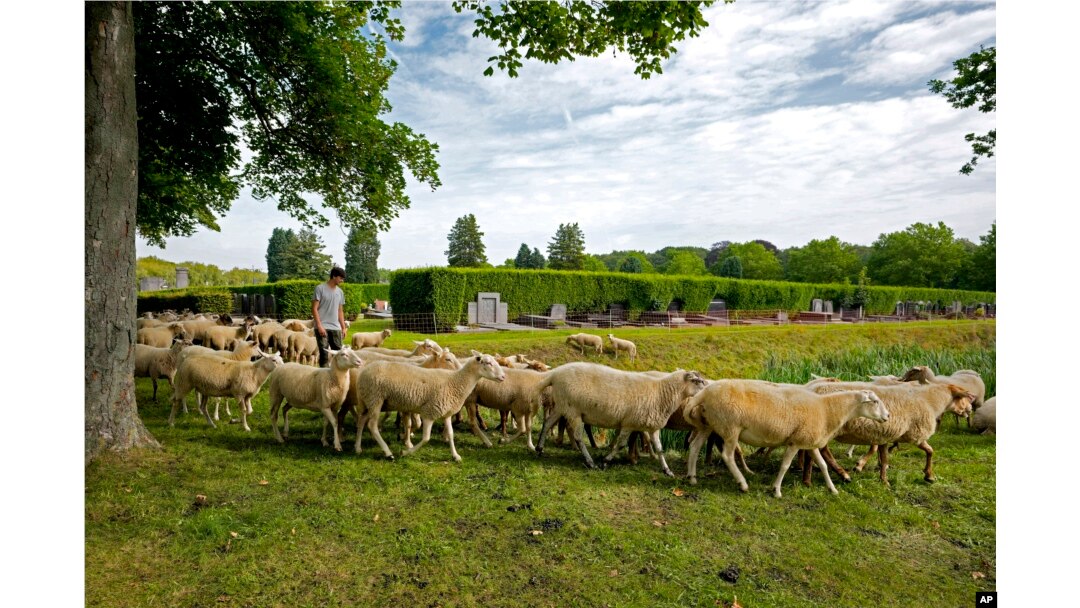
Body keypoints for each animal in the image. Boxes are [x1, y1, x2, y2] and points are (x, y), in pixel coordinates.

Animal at [354, 352, 505, 462]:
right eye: (489, 363)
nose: (503, 377)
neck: (456, 382)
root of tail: (364, 371)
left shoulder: (446, 413)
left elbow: (451, 434)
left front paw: (455, 456)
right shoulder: (430, 413)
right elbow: (426, 438)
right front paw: (405, 452)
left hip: (368, 400)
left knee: (361, 421)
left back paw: (357, 448)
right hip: (375, 399)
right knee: (372, 426)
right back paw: (388, 453)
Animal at [531, 360, 708, 475]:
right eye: (697, 381)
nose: (709, 389)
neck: (661, 393)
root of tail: (555, 373)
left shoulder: (653, 427)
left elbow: (659, 449)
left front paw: (667, 470)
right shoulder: (629, 423)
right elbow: (621, 444)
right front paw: (606, 461)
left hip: (562, 405)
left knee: (547, 423)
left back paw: (539, 448)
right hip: (573, 410)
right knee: (578, 437)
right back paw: (590, 462)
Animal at [678, 380, 889, 498]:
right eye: (875, 401)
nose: (887, 416)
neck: (828, 410)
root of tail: (703, 394)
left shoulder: (809, 441)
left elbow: (823, 465)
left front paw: (833, 489)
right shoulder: (795, 442)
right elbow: (785, 465)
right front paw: (777, 490)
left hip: (708, 424)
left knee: (695, 447)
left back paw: (692, 478)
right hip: (730, 427)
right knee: (727, 456)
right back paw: (743, 484)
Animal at [812, 380, 980, 485]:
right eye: (963, 398)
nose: (969, 410)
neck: (930, 401)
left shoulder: (884, 434)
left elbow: (883, 455)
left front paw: (880, 474)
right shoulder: (916, 434)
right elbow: (930, 451)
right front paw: (929, 475)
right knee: (824, 451)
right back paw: (843, 474)